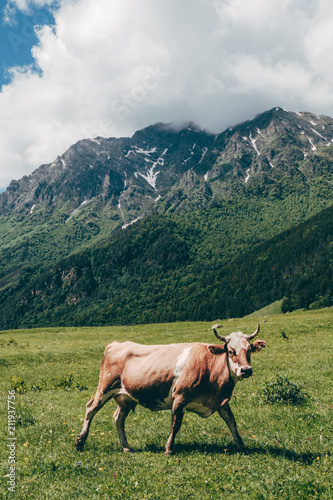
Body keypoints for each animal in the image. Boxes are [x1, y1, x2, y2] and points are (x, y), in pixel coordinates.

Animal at [74, 322, 264, 456]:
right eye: (231, 351)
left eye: (249, 350)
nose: (246, 370)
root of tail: (115, 343)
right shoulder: (180, 397)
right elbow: (176, 424)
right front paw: (169, 449)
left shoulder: (221, 400)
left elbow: (231, 421)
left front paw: (241, 445)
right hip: (105, 387)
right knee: (90, 408)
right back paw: (80, 441)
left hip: (125, 397)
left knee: (118, 418)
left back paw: (126, 447)